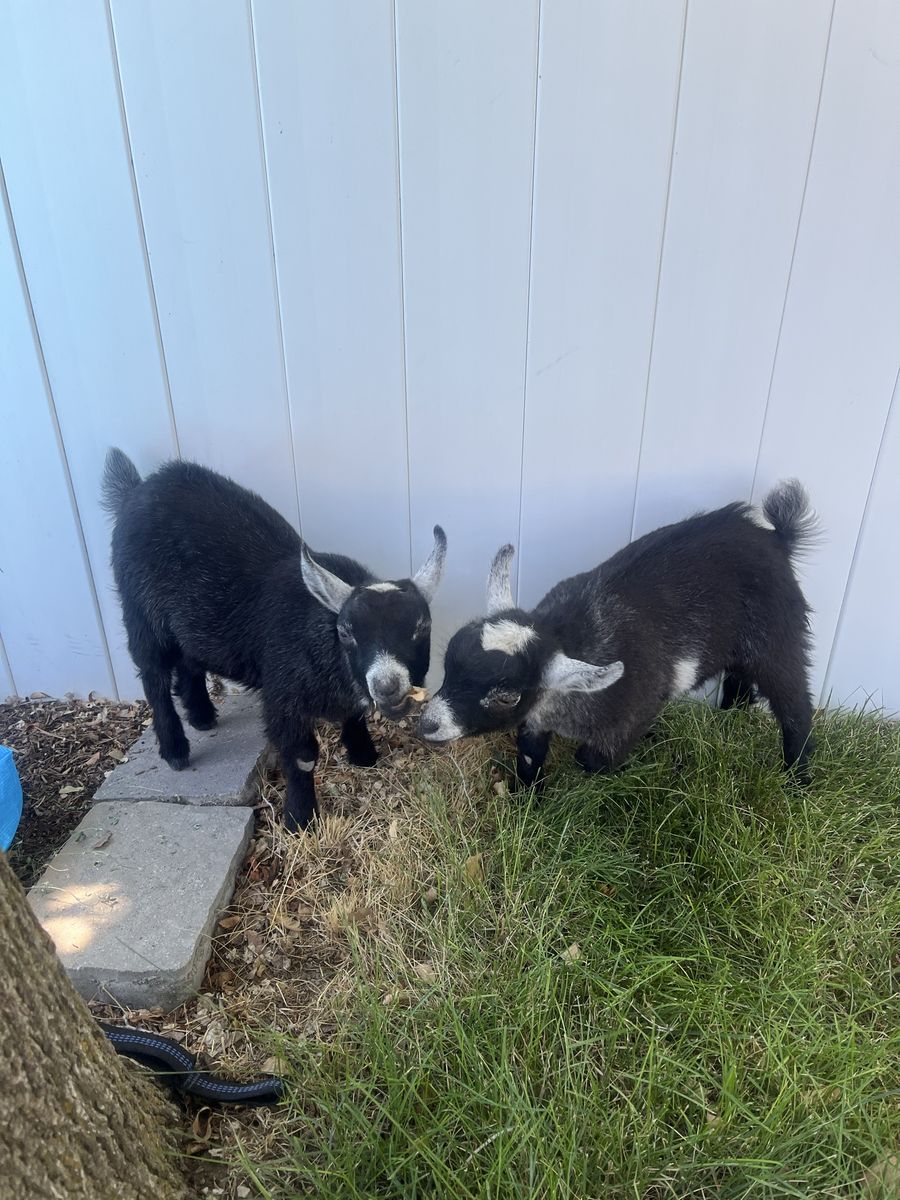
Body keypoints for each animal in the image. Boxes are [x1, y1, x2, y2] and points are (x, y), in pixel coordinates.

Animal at [102, 449, 446, 830]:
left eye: (422, 626)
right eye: (345, 632)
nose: (387, 686)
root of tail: (136, 490)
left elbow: (352, 715)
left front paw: (363, 754)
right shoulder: (282, 697)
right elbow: (301, 757)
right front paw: (300, 819)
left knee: (189, 662)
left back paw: (202, 715)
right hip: (141, 614)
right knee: (154, 676)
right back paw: (175, 749)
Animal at [418, 481, 817, 786]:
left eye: (506, 696)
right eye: (448, 662)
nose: (428, 723)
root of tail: (777, 539)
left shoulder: (630, 715)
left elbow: (591, 760)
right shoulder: (538, 716)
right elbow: (530, 757)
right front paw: (528, 801)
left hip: (780, 635)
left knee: (794, 704)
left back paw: (797, 780)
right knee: (740, 683)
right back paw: (731, 721)